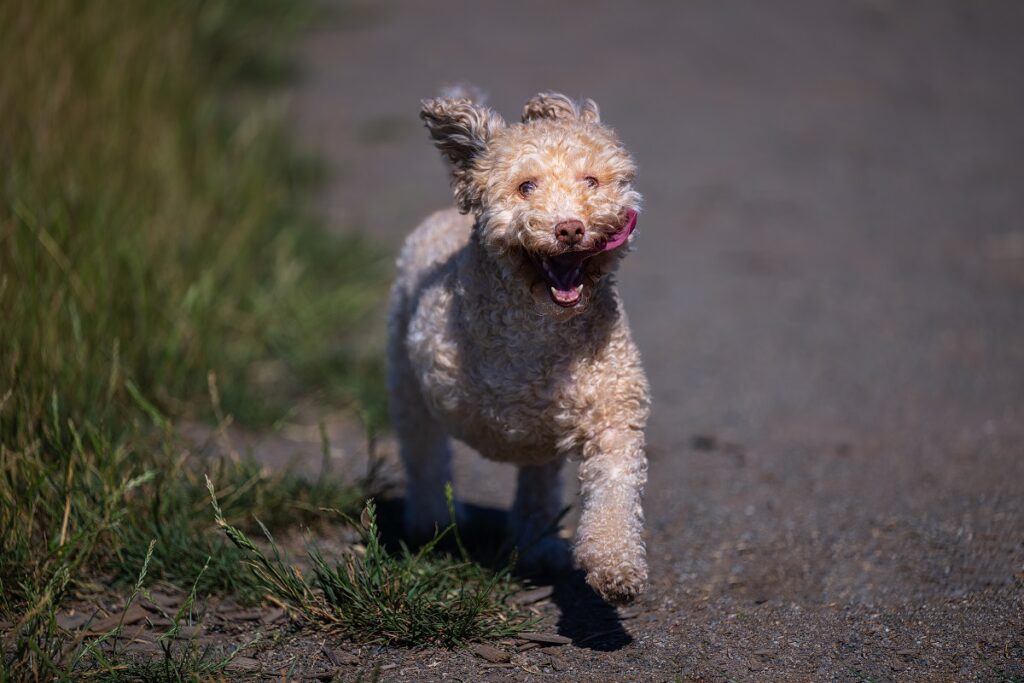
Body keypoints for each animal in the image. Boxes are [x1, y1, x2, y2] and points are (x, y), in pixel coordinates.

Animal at [387, 89, 651, 602]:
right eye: (526, 186)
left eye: (591, 180)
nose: (569, 228)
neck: (545, 328)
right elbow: (439, 445)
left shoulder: (610, 406)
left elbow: (614, 482)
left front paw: (616, 565)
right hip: (404, 378)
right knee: (424, 454)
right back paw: (432, 523)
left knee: (537, 483)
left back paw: (539, 543)